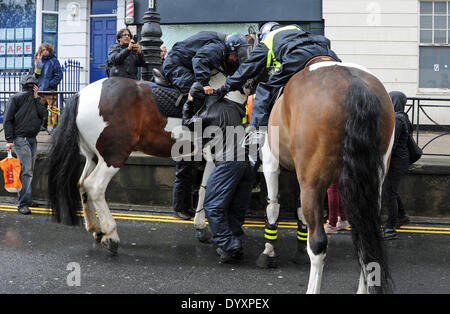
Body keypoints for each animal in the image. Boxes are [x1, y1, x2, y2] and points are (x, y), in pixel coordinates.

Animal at [258, 59, 396, 294]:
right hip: (370, 183)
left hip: (313, 183)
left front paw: (269, 251)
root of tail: (354, 84)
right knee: (365, 237)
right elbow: (297, 211)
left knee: (318, 244)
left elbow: (273, 205)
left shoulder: (271, 161)